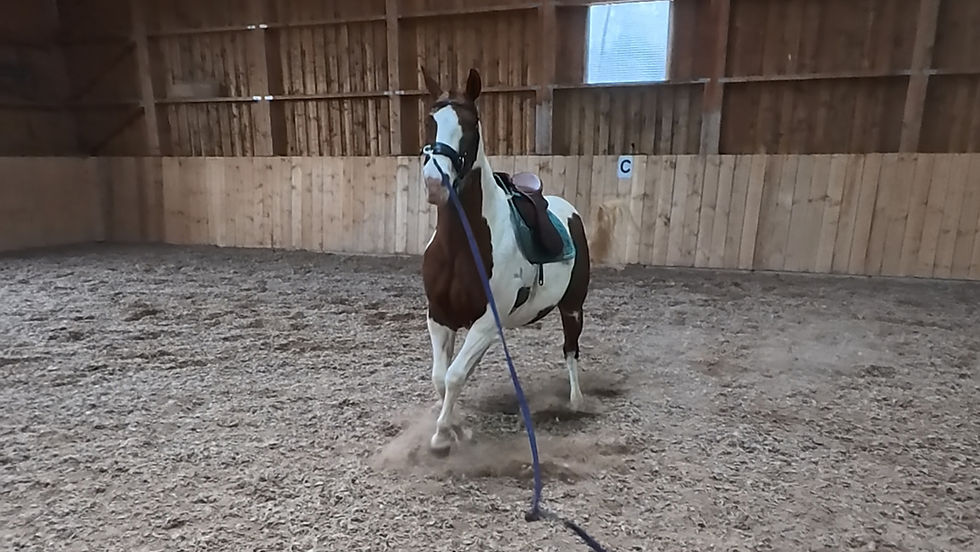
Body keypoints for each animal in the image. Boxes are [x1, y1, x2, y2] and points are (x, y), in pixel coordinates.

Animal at [418, 66, 592, 455]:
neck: (461, 246)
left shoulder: (486, 321)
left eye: (471, 125)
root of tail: (567, 209)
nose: (435, 184)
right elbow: (442, 377)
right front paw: (456, 426)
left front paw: (442, 434)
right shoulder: (439, 317)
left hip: (572, 307)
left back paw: (576, 401)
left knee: (571, 350)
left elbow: (453, 375)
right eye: (430, 121)